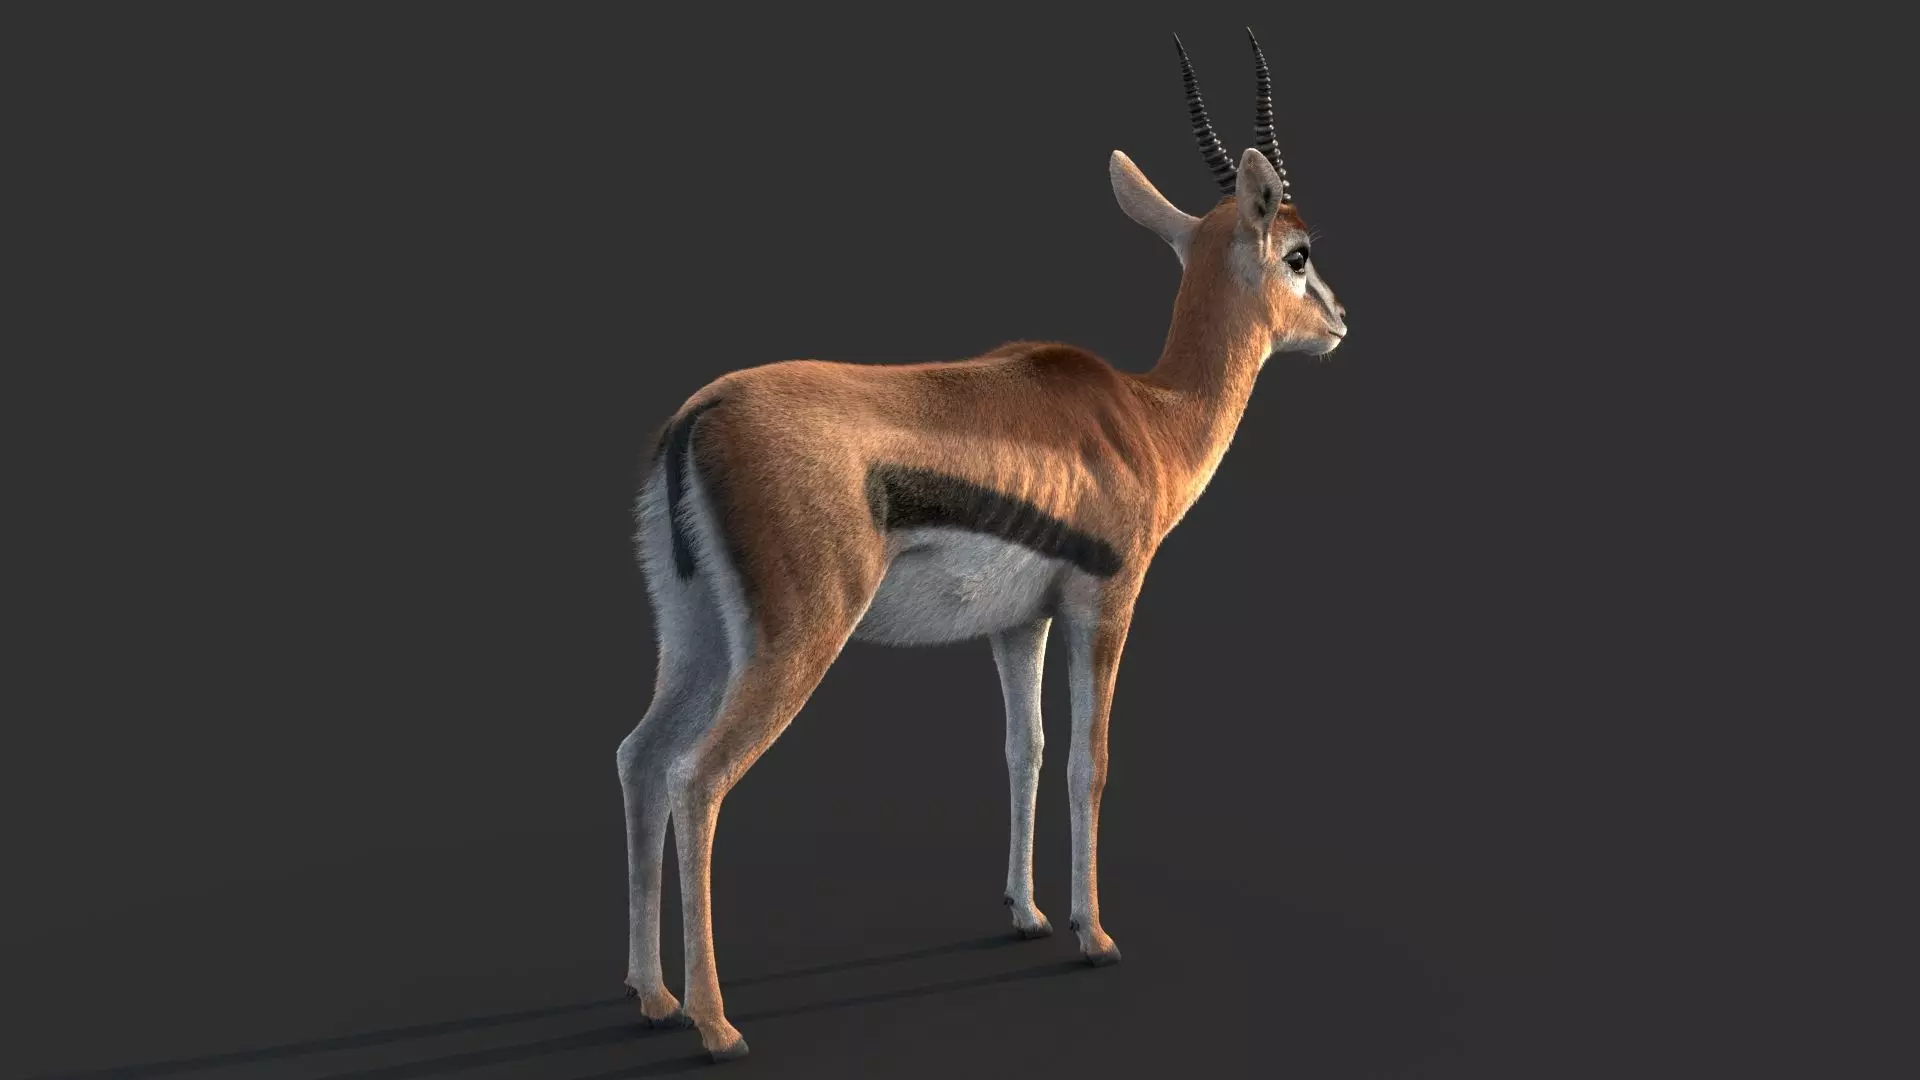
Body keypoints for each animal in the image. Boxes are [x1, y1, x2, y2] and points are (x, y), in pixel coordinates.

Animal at [619, 29, 1348, 1061]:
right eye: (1297, 252)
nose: (1340, 323)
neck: (1149, 416)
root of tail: (696, 418)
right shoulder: (1105, 603)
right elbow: (1089, 758)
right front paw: (1093, 933)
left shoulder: (1018, 625)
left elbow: (1023, 749)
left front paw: (1028, 914)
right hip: (794, 642)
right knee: (698, 777)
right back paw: (714, 1023)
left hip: (696, 639)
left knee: (640, 758)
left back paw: (650, 996)